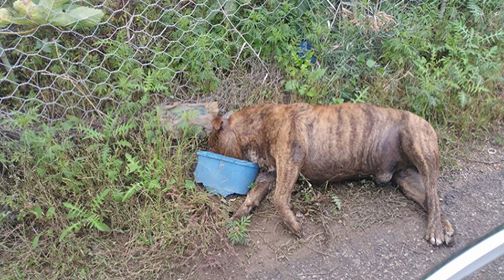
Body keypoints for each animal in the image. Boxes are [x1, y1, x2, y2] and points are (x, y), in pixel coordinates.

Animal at [204, 103, 452, 245]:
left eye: (214, 146)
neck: (257, 125)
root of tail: (426, 122)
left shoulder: (290, 160)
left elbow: (278, 199)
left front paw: (294, 226)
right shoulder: (270, 174)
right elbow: (252, 197)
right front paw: (236, 218)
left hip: (419, 145)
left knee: (433, 190)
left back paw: (436, 230)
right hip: (406, 179)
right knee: (430, 198)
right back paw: (445, 226)